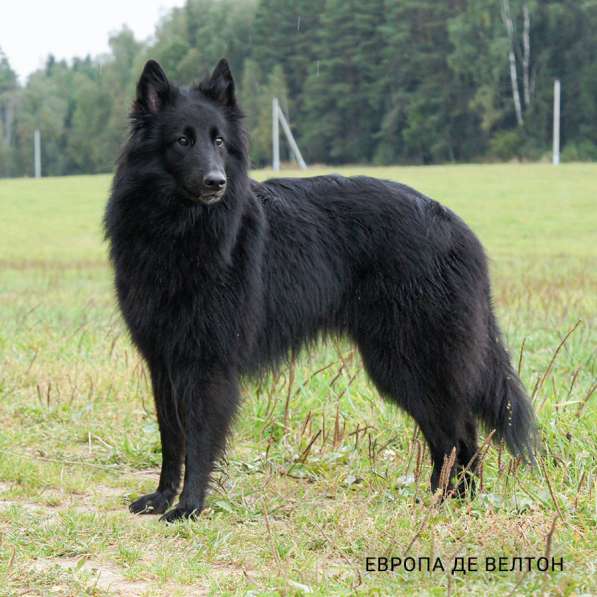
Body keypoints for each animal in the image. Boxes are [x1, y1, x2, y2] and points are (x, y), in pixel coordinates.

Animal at [105, 58, 536, 520]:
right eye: (182, 140)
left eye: (218, 141)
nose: (216, 182)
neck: (180, 229)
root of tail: (457, 227)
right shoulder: (163, 362)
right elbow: (172, 438)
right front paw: (162, 497)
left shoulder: (208, 364)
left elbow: (200, 439)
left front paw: (189, 506)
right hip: (401, 364)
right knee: (449, 433)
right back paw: (441, 499)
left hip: (410, 360)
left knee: (459, 430)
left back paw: (453, 501)